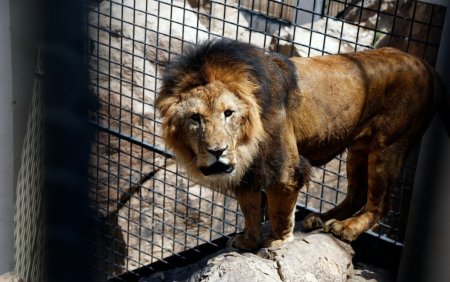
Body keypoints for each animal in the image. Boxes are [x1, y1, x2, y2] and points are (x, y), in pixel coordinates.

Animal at [156, 38, 442, 250]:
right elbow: (249, 208)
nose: (217, 151)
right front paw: (248, 241)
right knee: (356, 194)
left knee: (380, 204)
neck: (246, 143)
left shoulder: (283, 167)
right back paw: (322, 219)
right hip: (359, 147)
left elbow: (278, 209)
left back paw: (347, 228)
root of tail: (425, 64)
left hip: (388, 144)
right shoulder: (249, 169)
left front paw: (277, 241)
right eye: (195, 118)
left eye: (228, 113)